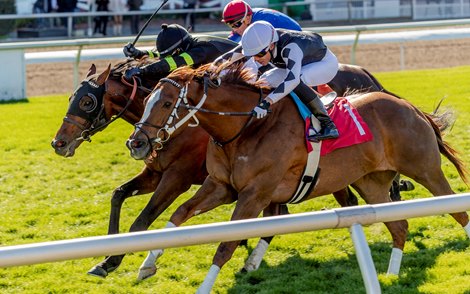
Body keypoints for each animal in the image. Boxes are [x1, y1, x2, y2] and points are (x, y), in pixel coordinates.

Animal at [49, 58, 404, 280]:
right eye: (70, 97)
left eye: (87, 102)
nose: (58, 143)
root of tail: (368, 76)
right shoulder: (157, 172)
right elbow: (118, 195)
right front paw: (108, 251)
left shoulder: (177, 177)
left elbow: (143, 219)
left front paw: (113, 259)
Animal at [126, 65, 470, 292]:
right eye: (148, 99)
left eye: (167, 103)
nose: (136, 143)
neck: (247, 127)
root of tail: (410, 106)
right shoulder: (221, 187)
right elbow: (179, 214)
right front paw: (146, 265)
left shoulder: (254, 194)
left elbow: (225, 244)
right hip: (371, 183)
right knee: (400, 226)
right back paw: (391, 276)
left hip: (426, 169)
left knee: (457, 211)